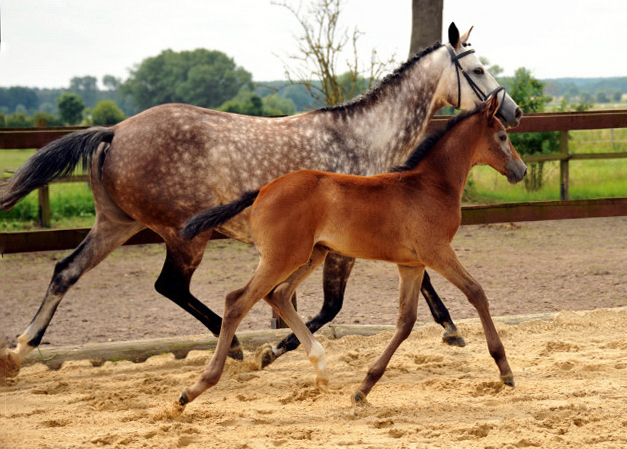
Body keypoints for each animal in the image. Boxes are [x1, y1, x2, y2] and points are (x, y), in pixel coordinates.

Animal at [179, 96, 528, 408]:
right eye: (502, 136)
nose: (521, 170)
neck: (429, 186)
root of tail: (263, 189)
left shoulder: (412, 265)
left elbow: (406, 322)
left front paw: (364, 388)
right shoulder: (436, 251)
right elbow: (476, 292)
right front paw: (505, 370)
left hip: (312, 255)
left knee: (278, 295)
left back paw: (320, 368)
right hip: (283, 257)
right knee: (237, 301)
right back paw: (194, 389)